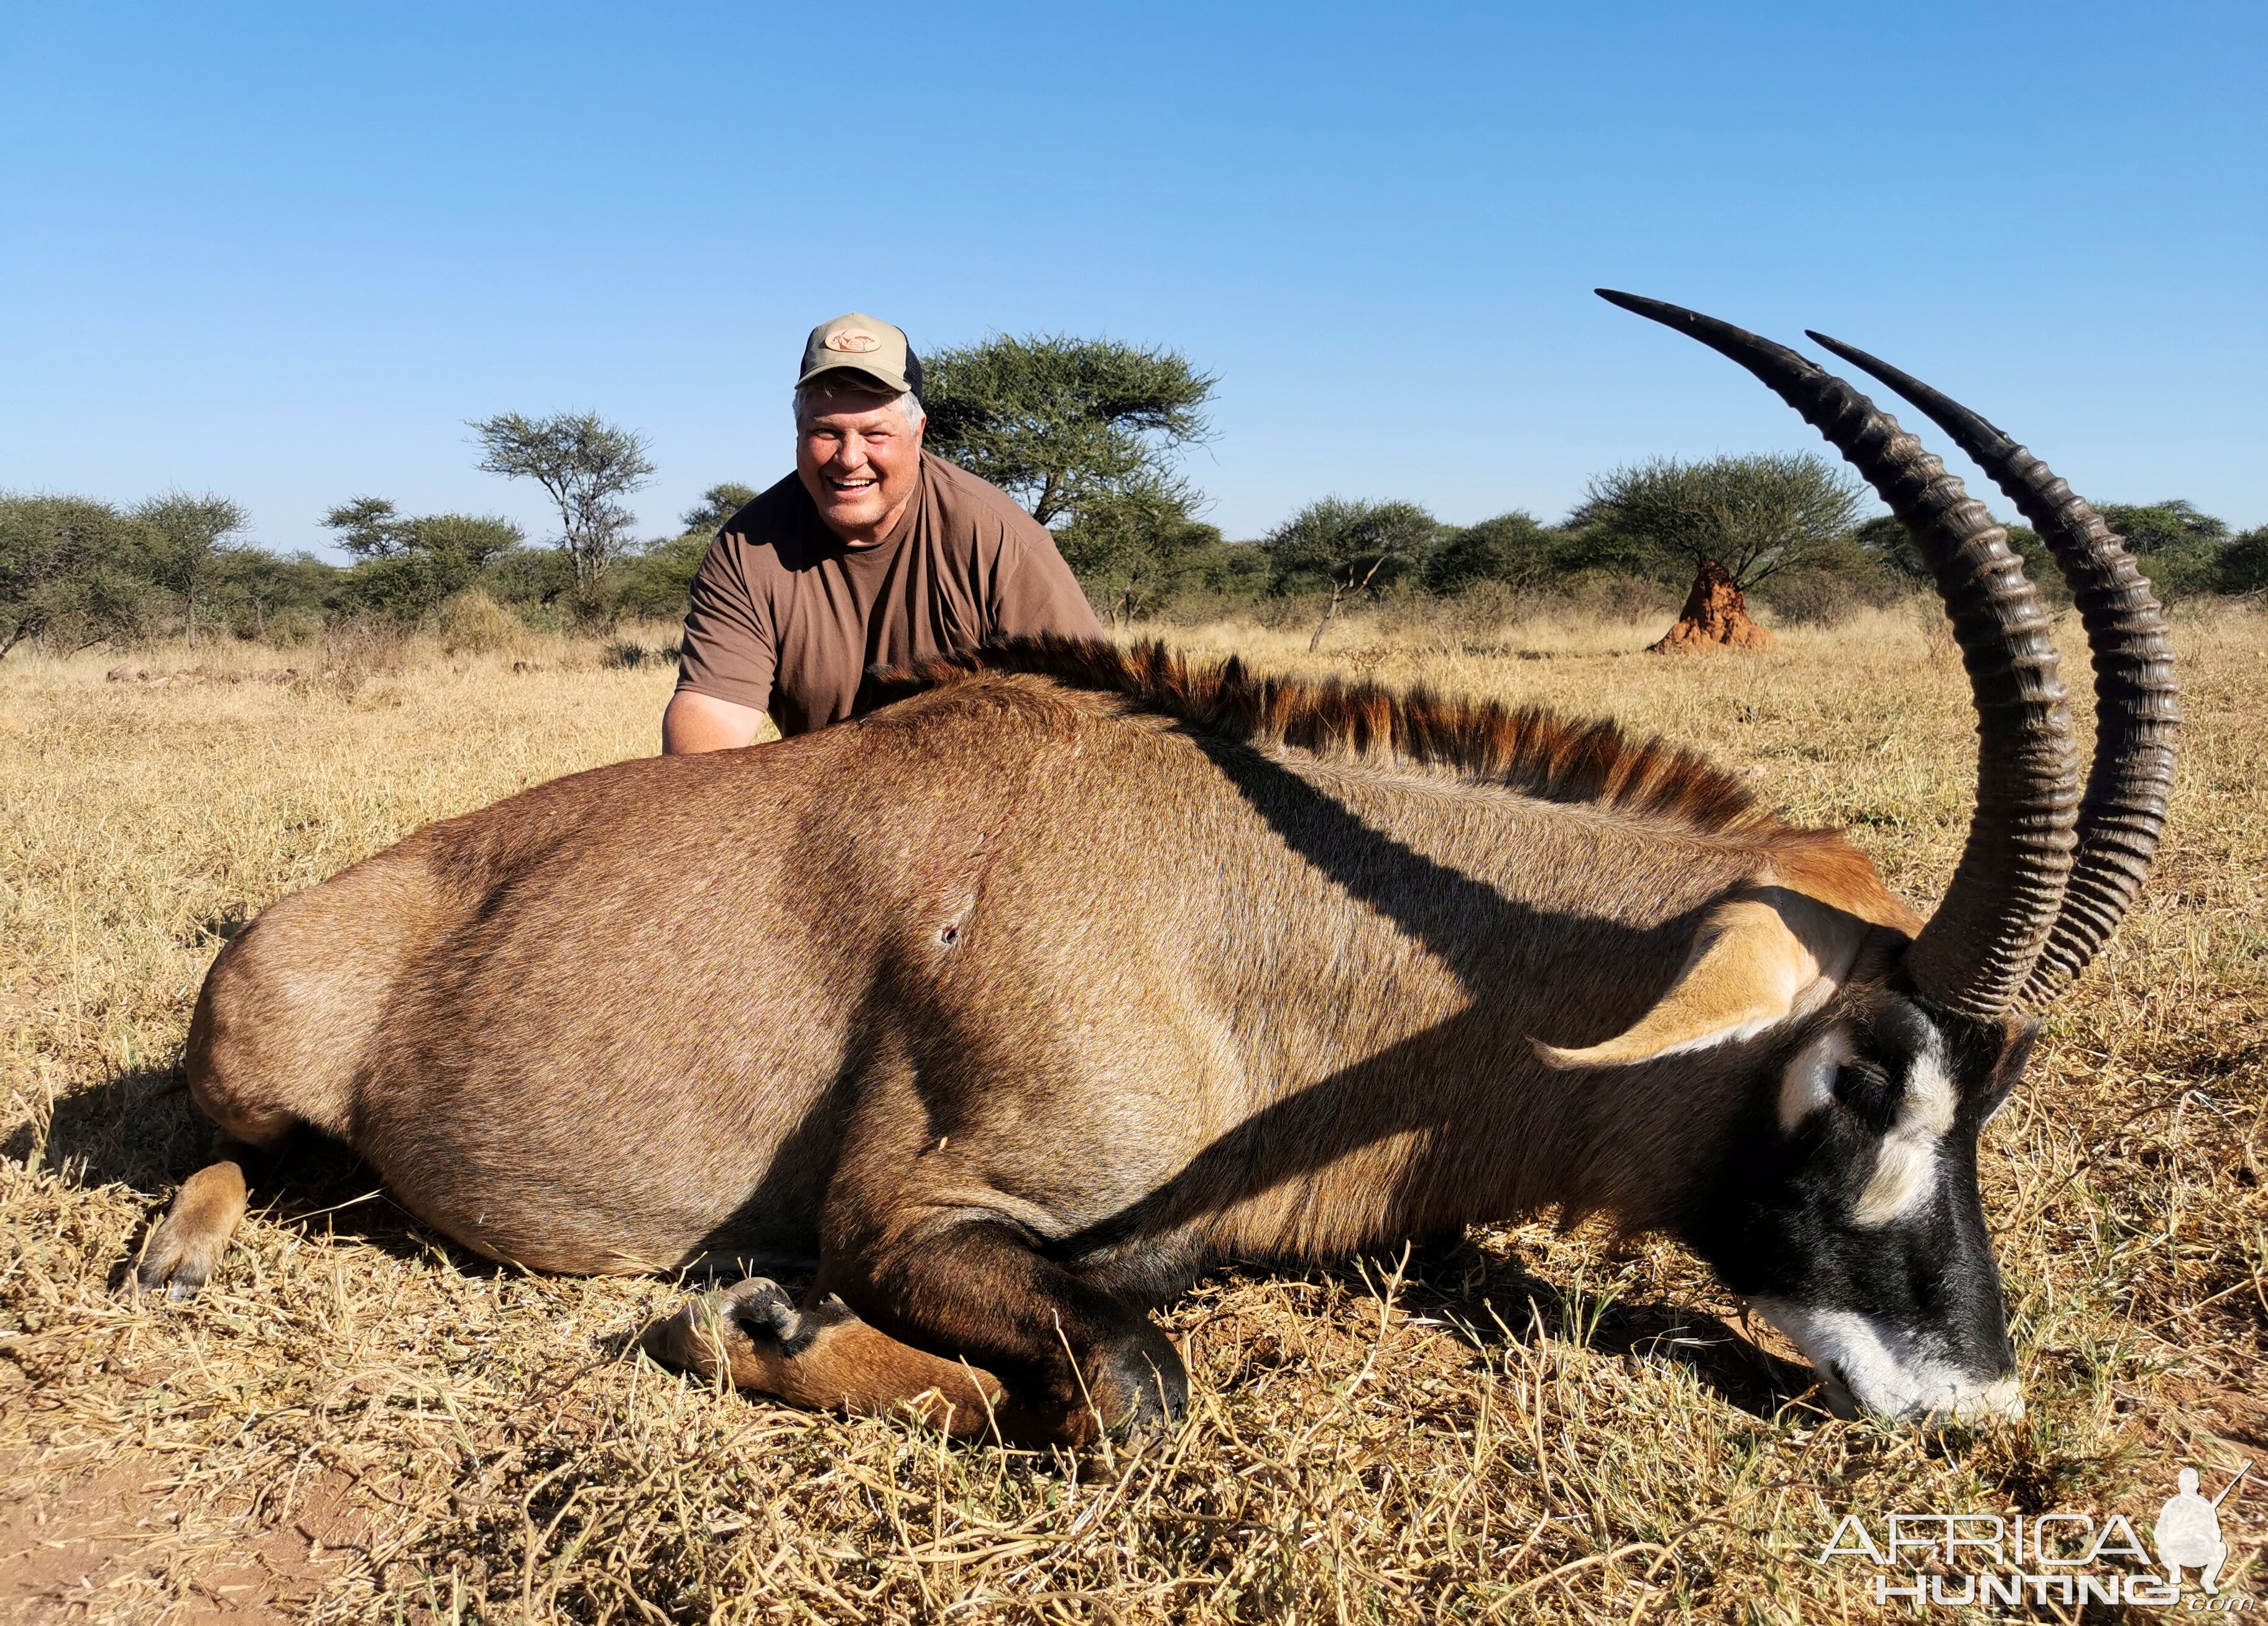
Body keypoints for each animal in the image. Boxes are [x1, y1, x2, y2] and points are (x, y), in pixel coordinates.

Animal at [142, 297, 2177, 1442]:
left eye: (1990, 1095)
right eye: (1854, 1077)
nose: (1976, 1400)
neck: (1257, 933)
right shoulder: (917, 1214)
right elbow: (1131, 1385)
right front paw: (772, 1322)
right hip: (263, 1067)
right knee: (234, 1150)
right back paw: (176, 1245)